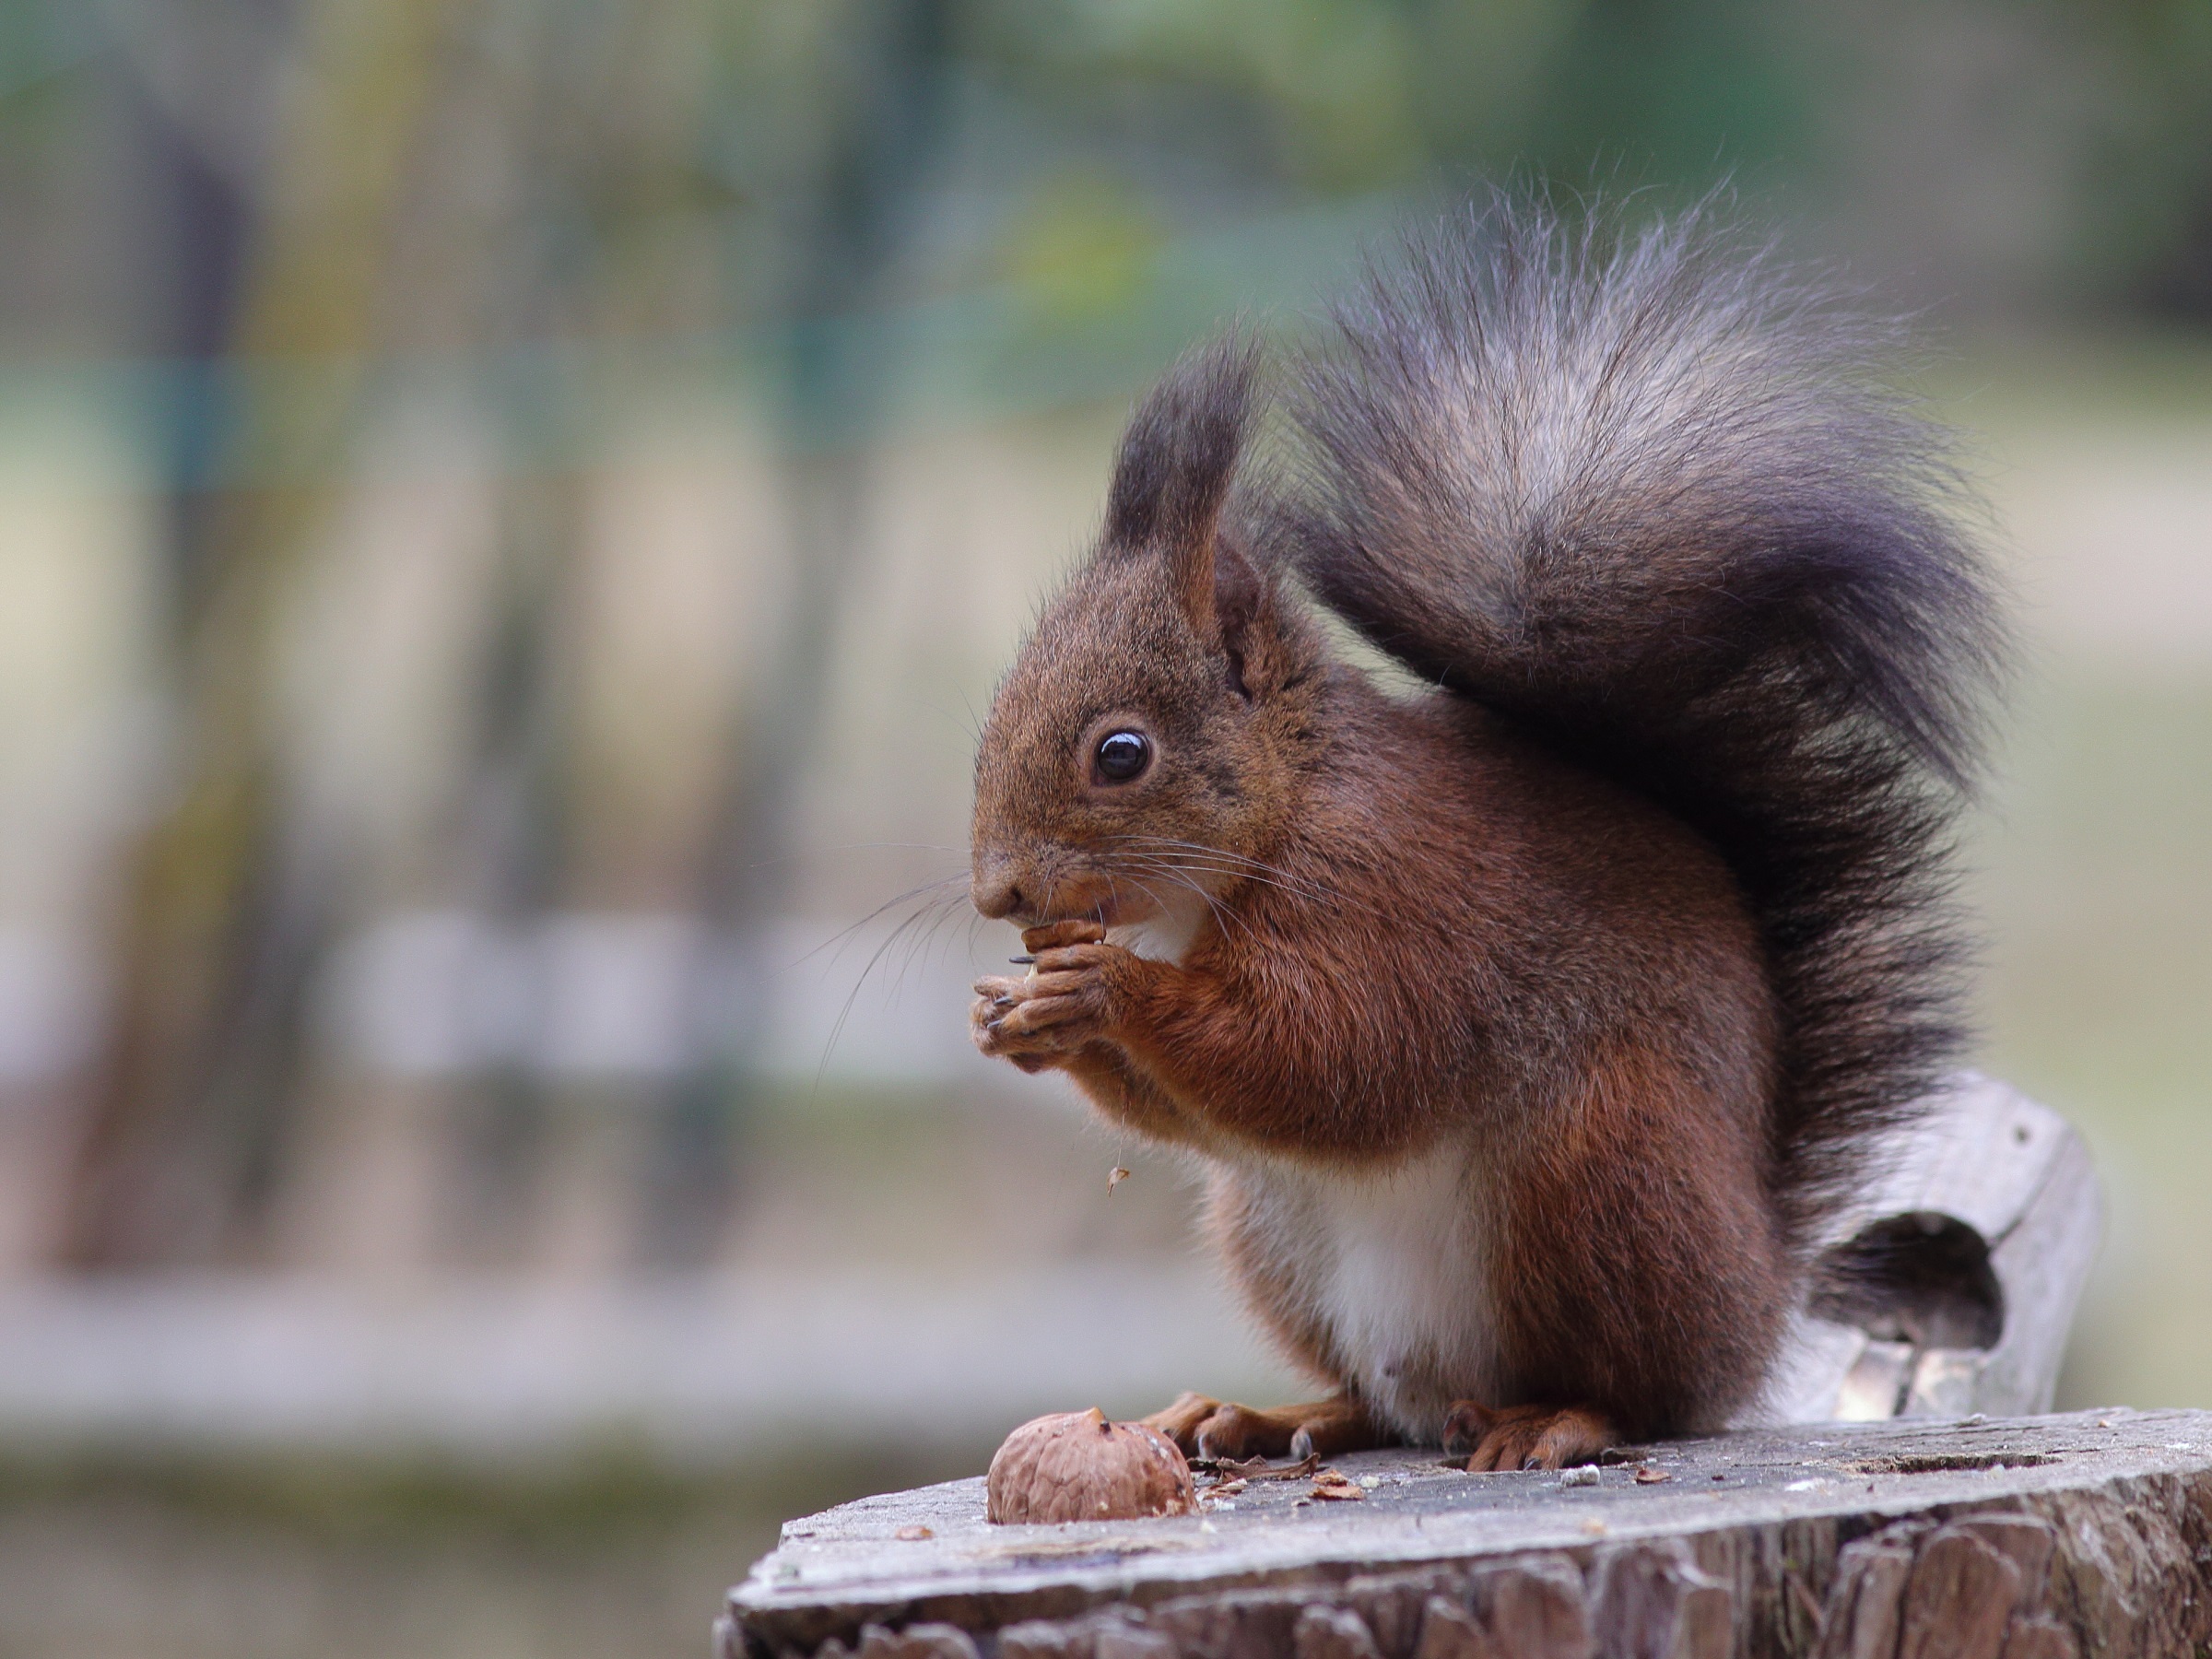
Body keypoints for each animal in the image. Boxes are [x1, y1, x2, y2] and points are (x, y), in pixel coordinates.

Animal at [965, 194, 2004, 1472]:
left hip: (1601, 1159)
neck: (1279, 815)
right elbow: (1202, 1110)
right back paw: (1266, 1415)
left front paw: (1104, 992)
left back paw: (1558, 1417)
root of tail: (1762, 1298)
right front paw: (1018, 1018)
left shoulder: (1390, 892)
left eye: (1121, 753)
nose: (999, 895)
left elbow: (1335, 1058)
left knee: (1646, 1390)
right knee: (1371, 1401)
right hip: (1272, 1227)